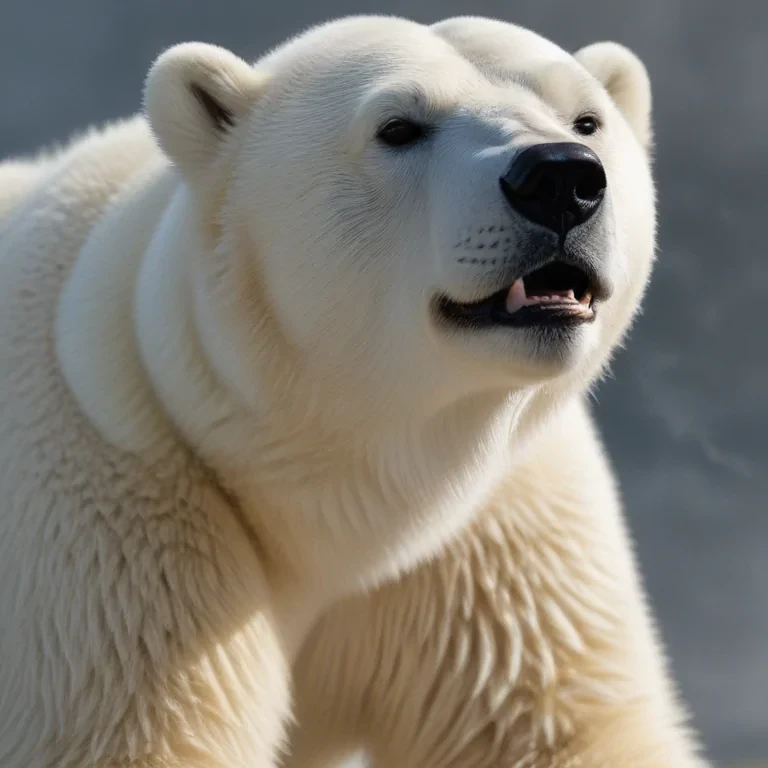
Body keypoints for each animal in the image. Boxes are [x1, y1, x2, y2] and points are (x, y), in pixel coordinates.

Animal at [0, 13, 661, 768]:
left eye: (587, 120)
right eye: (399, 127)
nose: (559, 178)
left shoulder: (499, 536)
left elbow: (559, 721)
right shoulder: (107, 527)